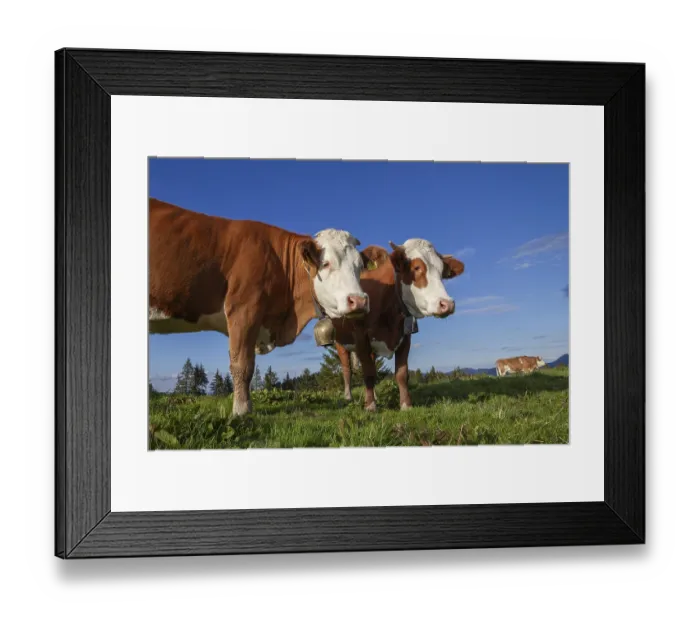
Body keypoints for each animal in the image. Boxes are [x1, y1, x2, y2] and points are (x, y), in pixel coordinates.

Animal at [148, 198, 373, 416]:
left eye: (360, 266)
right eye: (326, 263)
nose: (359, 300)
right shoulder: (243, 308)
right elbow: (242, 364)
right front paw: (242, 412)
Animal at [329, 239, 465, 411]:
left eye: (442, 272)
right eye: (416, 267)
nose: (447, 304)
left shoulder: (405, 337)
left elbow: (401, 373)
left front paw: (406, 404)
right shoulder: (360, 336)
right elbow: (368, 373)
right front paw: (370, 407)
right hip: (340, 342)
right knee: (347, 369)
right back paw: (349, 397)